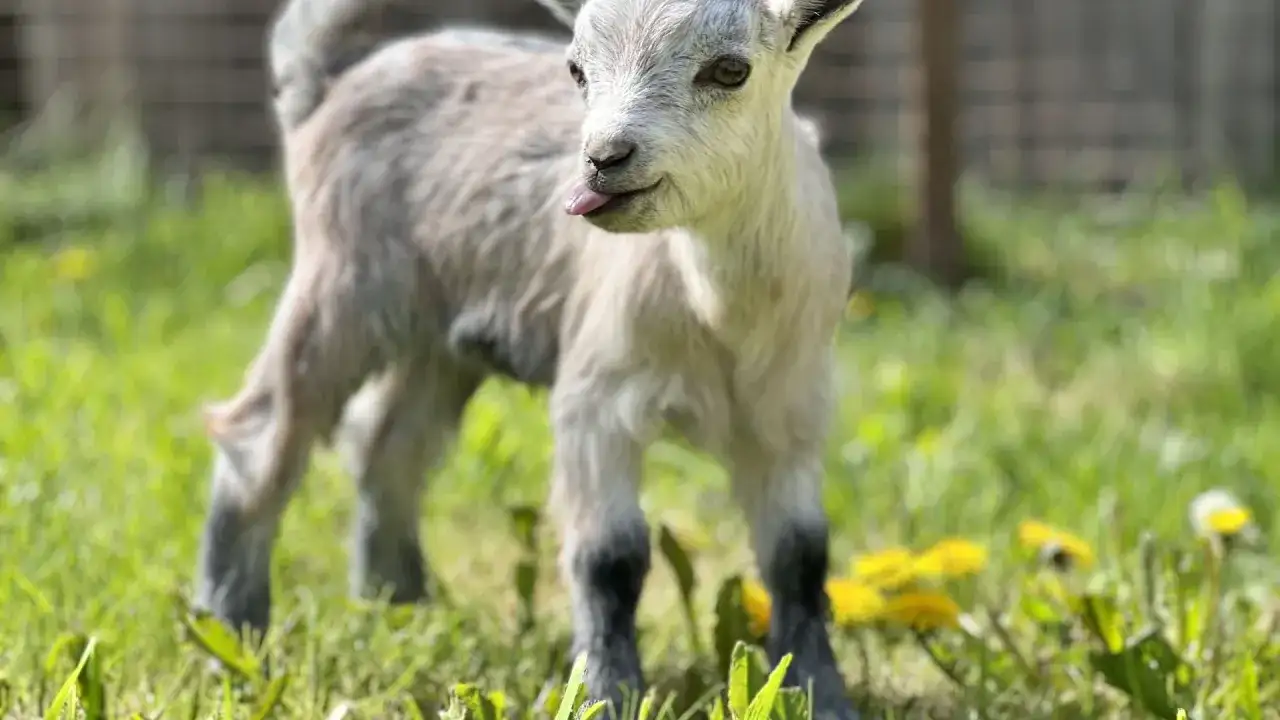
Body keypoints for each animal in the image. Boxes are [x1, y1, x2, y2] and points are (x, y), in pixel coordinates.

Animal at [194, 0, 863, 717]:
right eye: (576, 69)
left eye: (731, 70)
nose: (603, 159)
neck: (717, 310)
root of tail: (328, 87)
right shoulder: (598, 399)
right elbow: (609, 558)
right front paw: (606, 694)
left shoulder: (790, 413)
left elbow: (799, 557)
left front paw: (821, 693)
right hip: (344, 280)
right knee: (264, 434)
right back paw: (231, 634)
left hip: (440, 336)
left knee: (387, 445)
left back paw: (397, 607)